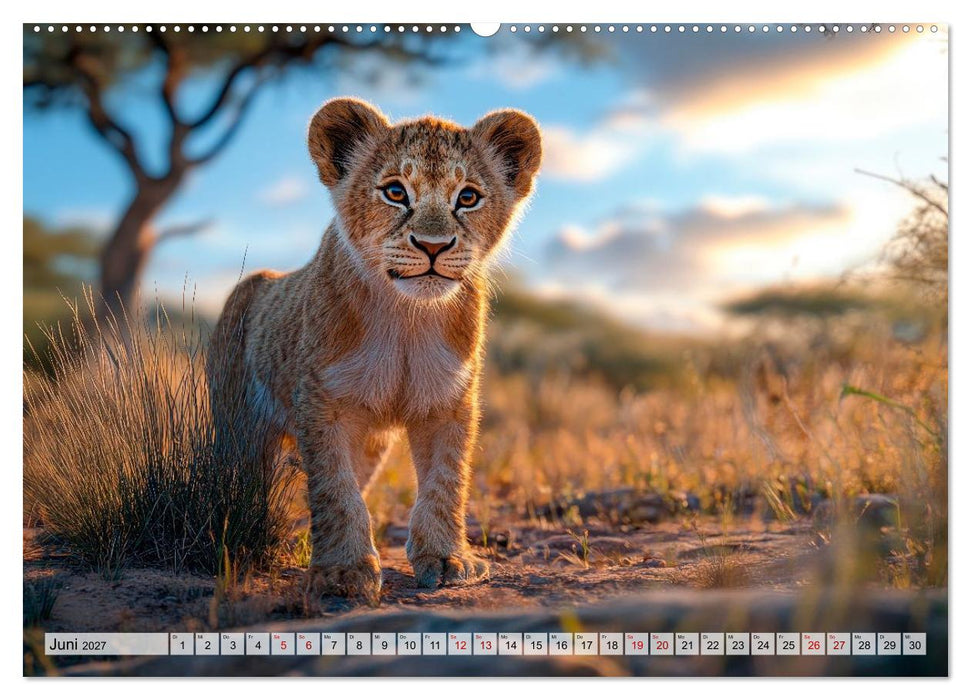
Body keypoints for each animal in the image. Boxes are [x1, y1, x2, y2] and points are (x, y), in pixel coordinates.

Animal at [206, 97, 542, 602]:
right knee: (241, 478)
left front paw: (447, 559)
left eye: (468, 197)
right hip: (236, 423)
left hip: (371, 442)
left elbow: (446, 481)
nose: (433, 246)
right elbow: (335, 489)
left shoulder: (449, 401)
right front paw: (343, 573)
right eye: (395, 192)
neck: (407, 317)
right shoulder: (323, 401)